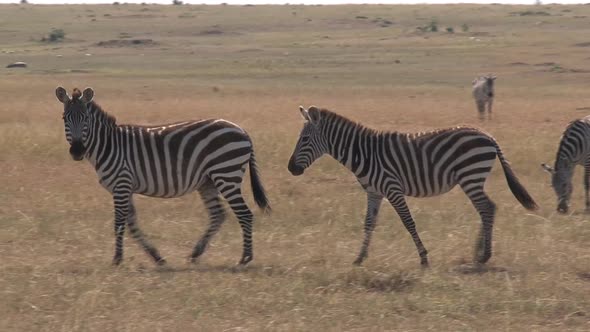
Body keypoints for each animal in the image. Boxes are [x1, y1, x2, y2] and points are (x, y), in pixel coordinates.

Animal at [54, 86, 272, 268]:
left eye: (85, 119)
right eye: (65, 118)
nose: (77, 151)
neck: (108, 145)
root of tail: (242, 130)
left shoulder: (121, 184)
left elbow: (119, 224)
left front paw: (117, 259)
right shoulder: (125, 187)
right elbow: (132, 224)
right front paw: (156, 257)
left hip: (226, 174)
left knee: (244, 214)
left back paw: (245, 258)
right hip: (208, 181)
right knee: (218, 215)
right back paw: (196, 253)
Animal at [290, 106, 540, 268]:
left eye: (304, 140)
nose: (290, 168)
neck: (363, 153)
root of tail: (487, 135)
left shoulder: (392, 189)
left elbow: (408, 222)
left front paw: (423, 258)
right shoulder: (374, 192)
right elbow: (369, 223)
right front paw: (359, 258)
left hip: (470, 176)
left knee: (487, 208)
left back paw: (484, 255)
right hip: (471, 178)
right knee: (487, 208)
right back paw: (479, 252)